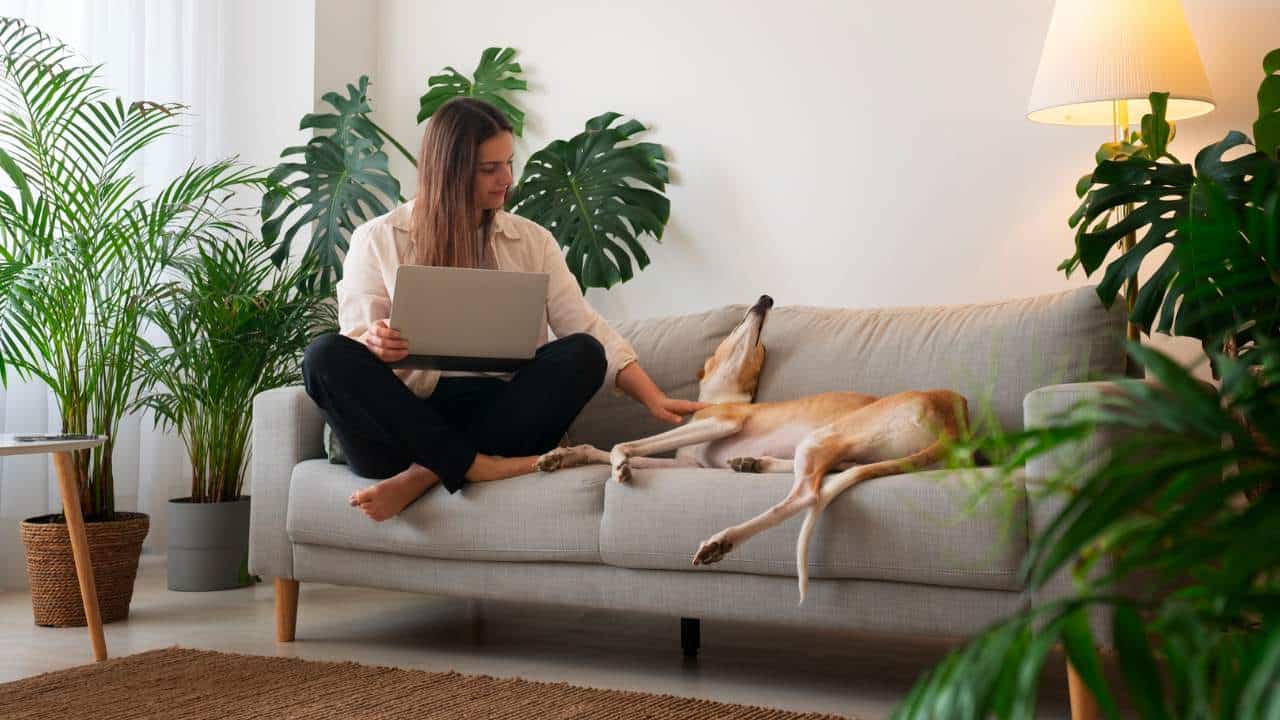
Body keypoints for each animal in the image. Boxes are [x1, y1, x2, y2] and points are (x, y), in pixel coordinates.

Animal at [532, 293, 967, 599]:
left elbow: (624, 444)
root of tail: (952, 418)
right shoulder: (692, 464)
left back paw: (721, 541)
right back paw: (751, 464)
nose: (765, 299)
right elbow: (603, 449)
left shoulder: (722, 421)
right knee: (827, 475)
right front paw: (561, 455)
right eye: (742, 334)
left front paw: (620, 464)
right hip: (840, 447)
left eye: (759, 347)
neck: (724, 397)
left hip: (829, 435)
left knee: (806, 495)